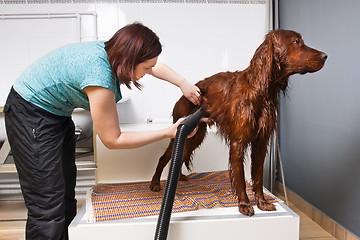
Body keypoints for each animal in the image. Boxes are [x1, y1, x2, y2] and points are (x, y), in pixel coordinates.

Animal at [148, 29, 326, 216]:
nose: (325, 56)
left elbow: (258, 176)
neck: (260, 91)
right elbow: (240, 175)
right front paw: (245, 204)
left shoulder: (261, 142)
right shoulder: (238, 141)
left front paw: (262, 202)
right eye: (297, 41)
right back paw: (155, 183)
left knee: (181, 155)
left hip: (196, 135)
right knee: (164, 157)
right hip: (183, 130)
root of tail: (186, 92)